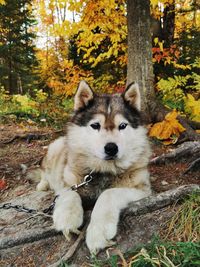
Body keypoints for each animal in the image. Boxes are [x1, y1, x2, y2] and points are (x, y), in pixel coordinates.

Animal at [36, 81, 152, 255]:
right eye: (95, 125)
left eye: (122, 126)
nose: (111, 148)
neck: (102, 170)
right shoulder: (67, 182)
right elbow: (70, 192)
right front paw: (67, 218)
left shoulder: (143, 190)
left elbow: (108, 193)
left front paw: (98, 230)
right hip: (55, 147)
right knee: (44, 172)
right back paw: (42, 184)